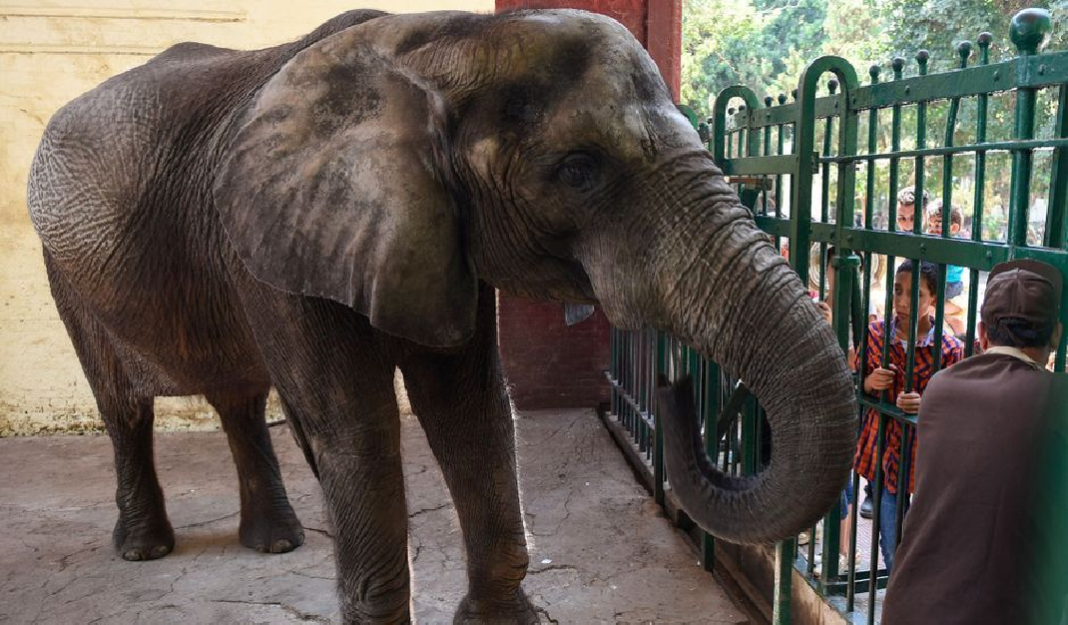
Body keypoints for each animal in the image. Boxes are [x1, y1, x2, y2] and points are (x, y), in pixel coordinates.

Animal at [27, 8, 857, 623]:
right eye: (578, 170)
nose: (672, 379)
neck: (435, 42)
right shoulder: (277, 242)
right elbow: (356, 428)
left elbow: (472, 406)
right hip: (63, 267)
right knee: (123, 406)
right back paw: (146, 550)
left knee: (238, 398)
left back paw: (278, 544)